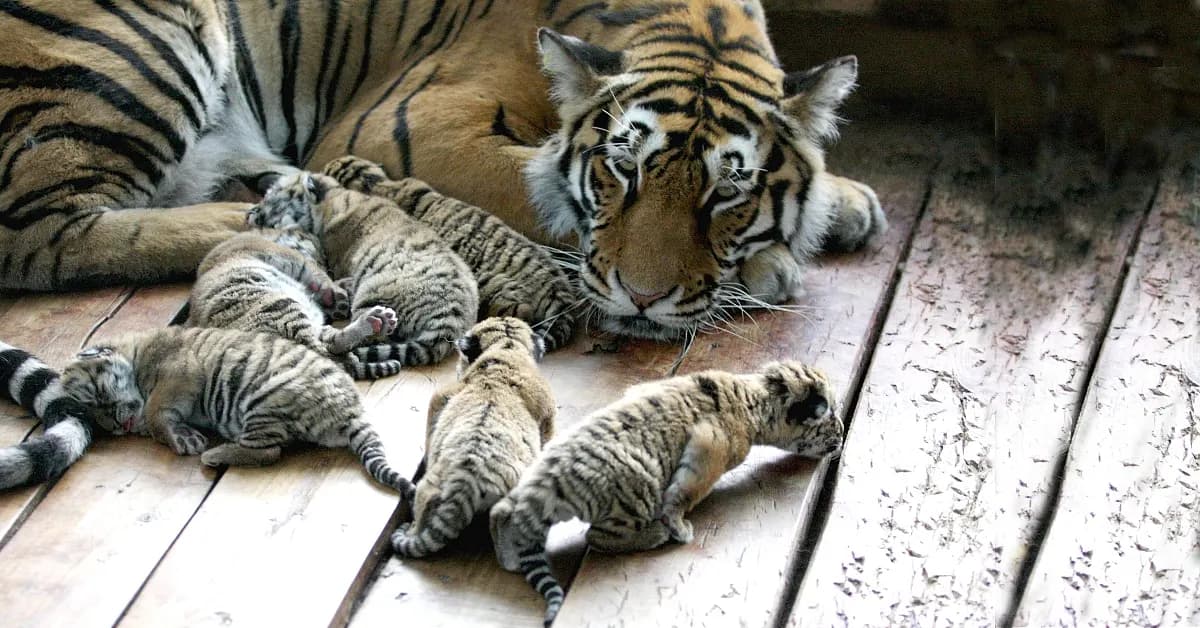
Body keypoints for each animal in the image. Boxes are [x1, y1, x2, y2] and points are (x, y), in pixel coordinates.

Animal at [0, 0, 883, 341]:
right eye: (620, 171)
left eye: (726, 192)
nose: (643, 300)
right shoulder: (408, 124)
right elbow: (537, 189)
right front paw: (771, 267)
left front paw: (843, 204)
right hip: (132, 48)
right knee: (39, 237)